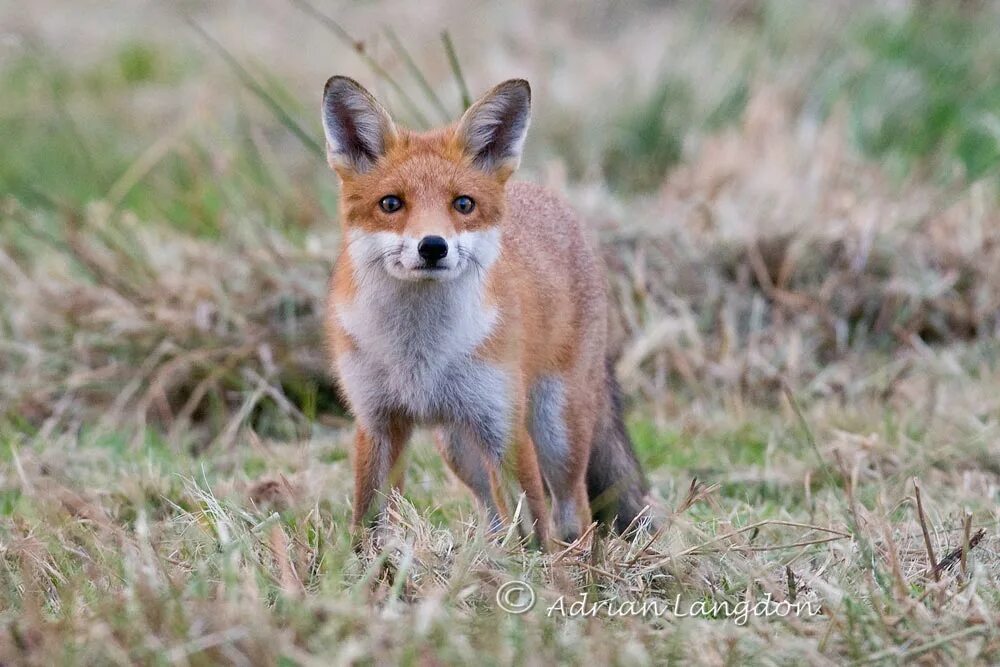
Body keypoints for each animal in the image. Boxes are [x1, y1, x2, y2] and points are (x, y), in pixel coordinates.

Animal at [320, 75, 648, 552]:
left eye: (463, 204)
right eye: (391, 204)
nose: (433, 246)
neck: (419, 353)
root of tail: (553, 200)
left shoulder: (503, 426)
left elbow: (536, 523)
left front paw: (543, 569)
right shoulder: (377, 421)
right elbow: (368, 519)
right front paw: (367, 567)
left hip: (556, 433)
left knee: (576, 514)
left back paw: (580, 564)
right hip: (459, 447)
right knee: (493, 513)